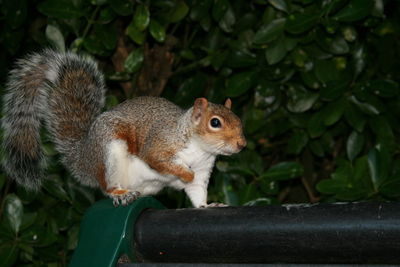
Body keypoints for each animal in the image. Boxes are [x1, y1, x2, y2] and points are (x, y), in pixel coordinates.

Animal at [0, 50, 247, 209]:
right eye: (215, 123)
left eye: (238, 120)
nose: (242, 144)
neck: (199, 149)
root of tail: (86, 159)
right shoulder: (161, 143)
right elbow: (158, 159)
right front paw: (185, 173)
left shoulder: (204, 170)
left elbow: (197, 193)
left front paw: (208, 205)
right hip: (110, 152)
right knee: (106, 187)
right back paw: (119, 193)